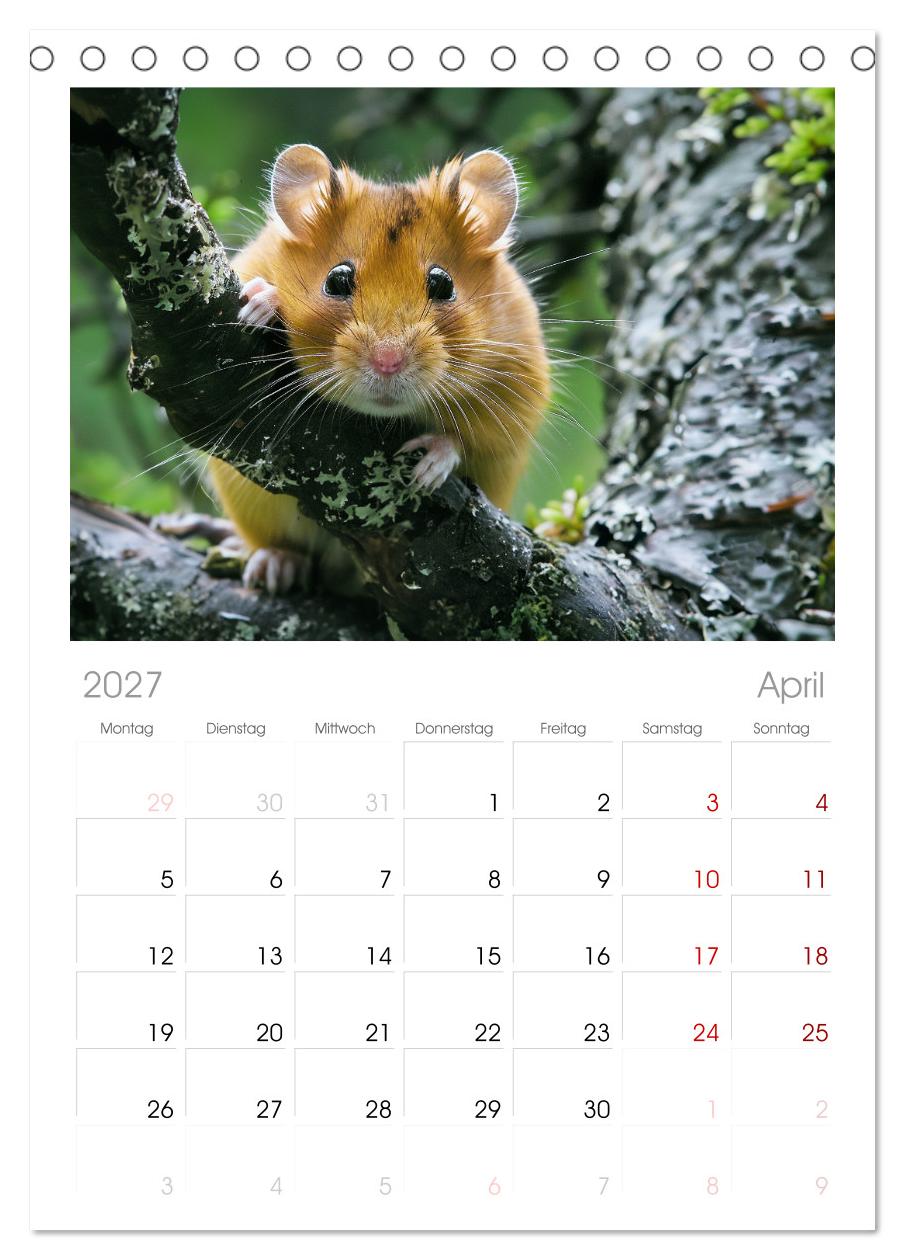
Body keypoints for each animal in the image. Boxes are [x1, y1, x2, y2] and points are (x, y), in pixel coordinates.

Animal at [209, 144, 551, 593]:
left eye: (443, 284)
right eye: (337, 280)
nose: (388, 362)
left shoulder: (515, 395)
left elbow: (465, 441)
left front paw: (425, 469)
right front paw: (261, 302)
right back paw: (273, 569)